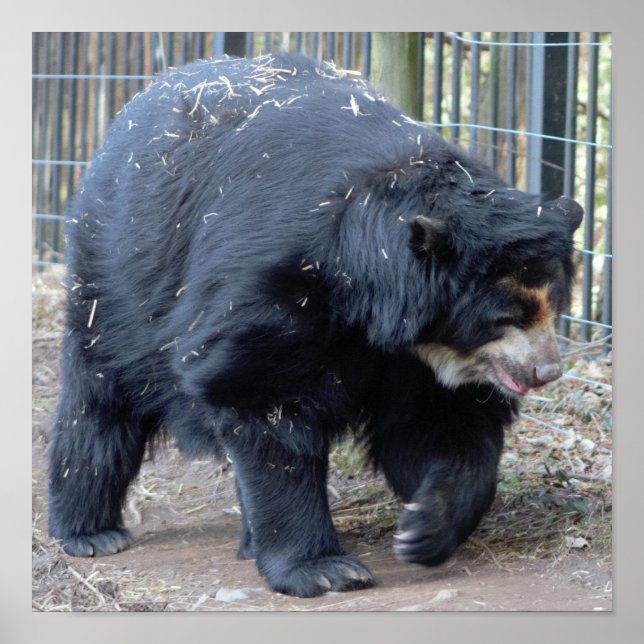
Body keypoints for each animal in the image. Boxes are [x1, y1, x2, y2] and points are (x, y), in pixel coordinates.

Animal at [47, 52, 583, 598]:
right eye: (505, 316)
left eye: (554, 306)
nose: (547, 371)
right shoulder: (277, 287)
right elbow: (260, 395)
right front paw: (324, 570)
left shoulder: (411, 359)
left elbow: (441, 426)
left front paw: (423, 527)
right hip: (118, 280)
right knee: (101, 402)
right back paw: (91, 533)